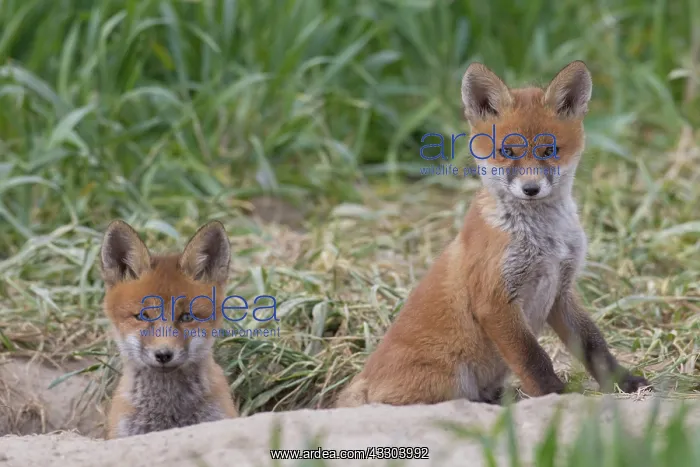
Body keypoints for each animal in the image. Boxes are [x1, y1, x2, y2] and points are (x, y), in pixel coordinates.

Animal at [336, 61, 651, 408]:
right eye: (507, 151)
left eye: (549, 150)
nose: (530, 189)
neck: (545, 241)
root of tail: (363, 380)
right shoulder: (495, 298)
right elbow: (532, 357)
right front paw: (555, 394)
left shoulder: (562, 290)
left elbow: (595, 345)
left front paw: (625, 382)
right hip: (451, 380)